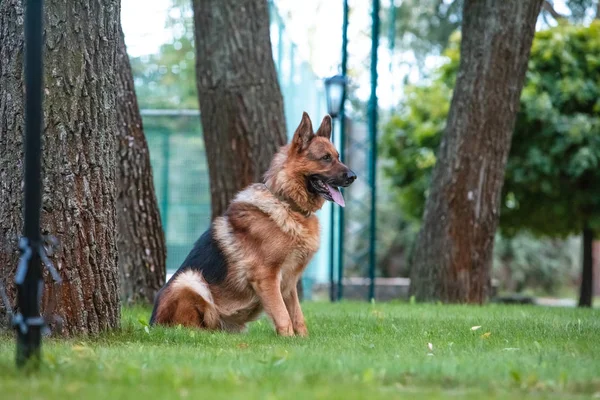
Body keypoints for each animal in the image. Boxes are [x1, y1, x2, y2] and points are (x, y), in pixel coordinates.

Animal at [150, 111, 356, 336]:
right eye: (325, 158)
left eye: (338, 156)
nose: (353, 176)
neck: (287, 204)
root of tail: (152, 323)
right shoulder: (267, 276)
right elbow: (283, 315)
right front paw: (288, 339)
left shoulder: (288, 282)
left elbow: (297, 315)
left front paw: (302, 339)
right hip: (189, 280)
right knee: (188, 328)